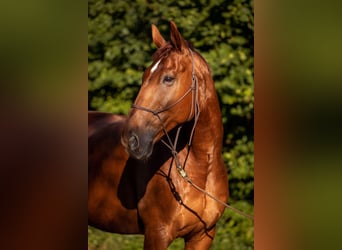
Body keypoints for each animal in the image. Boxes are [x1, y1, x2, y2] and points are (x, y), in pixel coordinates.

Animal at [88, 22, 228, 250]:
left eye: (168, 78)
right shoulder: (157, 234)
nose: (130, 138)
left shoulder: (202, 236)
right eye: (144, 76)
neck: (200, 170)